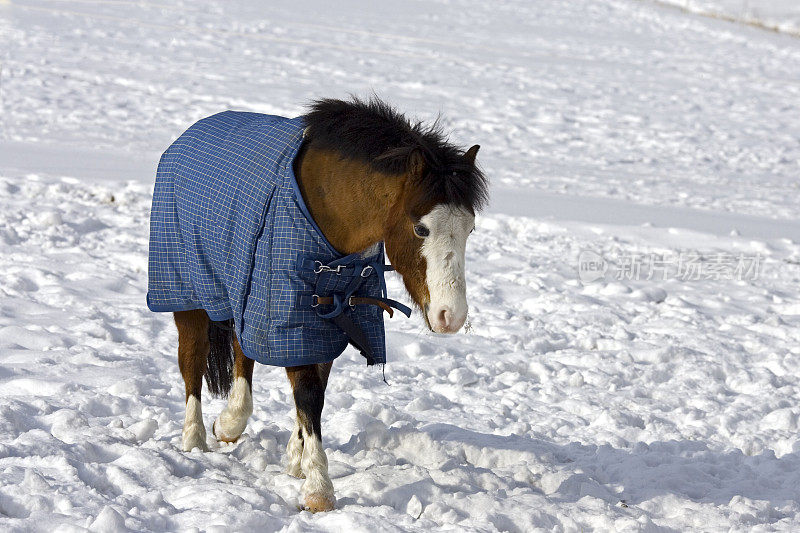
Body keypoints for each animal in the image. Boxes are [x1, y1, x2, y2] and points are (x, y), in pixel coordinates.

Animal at [158, 96, 488, 512]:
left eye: (470, 229)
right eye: (420, 228)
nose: (452, 316)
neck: (328, 207)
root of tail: (190, 135)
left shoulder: (329, 314)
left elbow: (316, 389)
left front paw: (296, 461)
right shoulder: (291, 312)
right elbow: (309, 394)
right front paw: (318, 488)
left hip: (245, 288)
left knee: (242, 350)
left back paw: (230, 423)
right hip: (186, 292)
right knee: (192, 360)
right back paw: (195, 439)